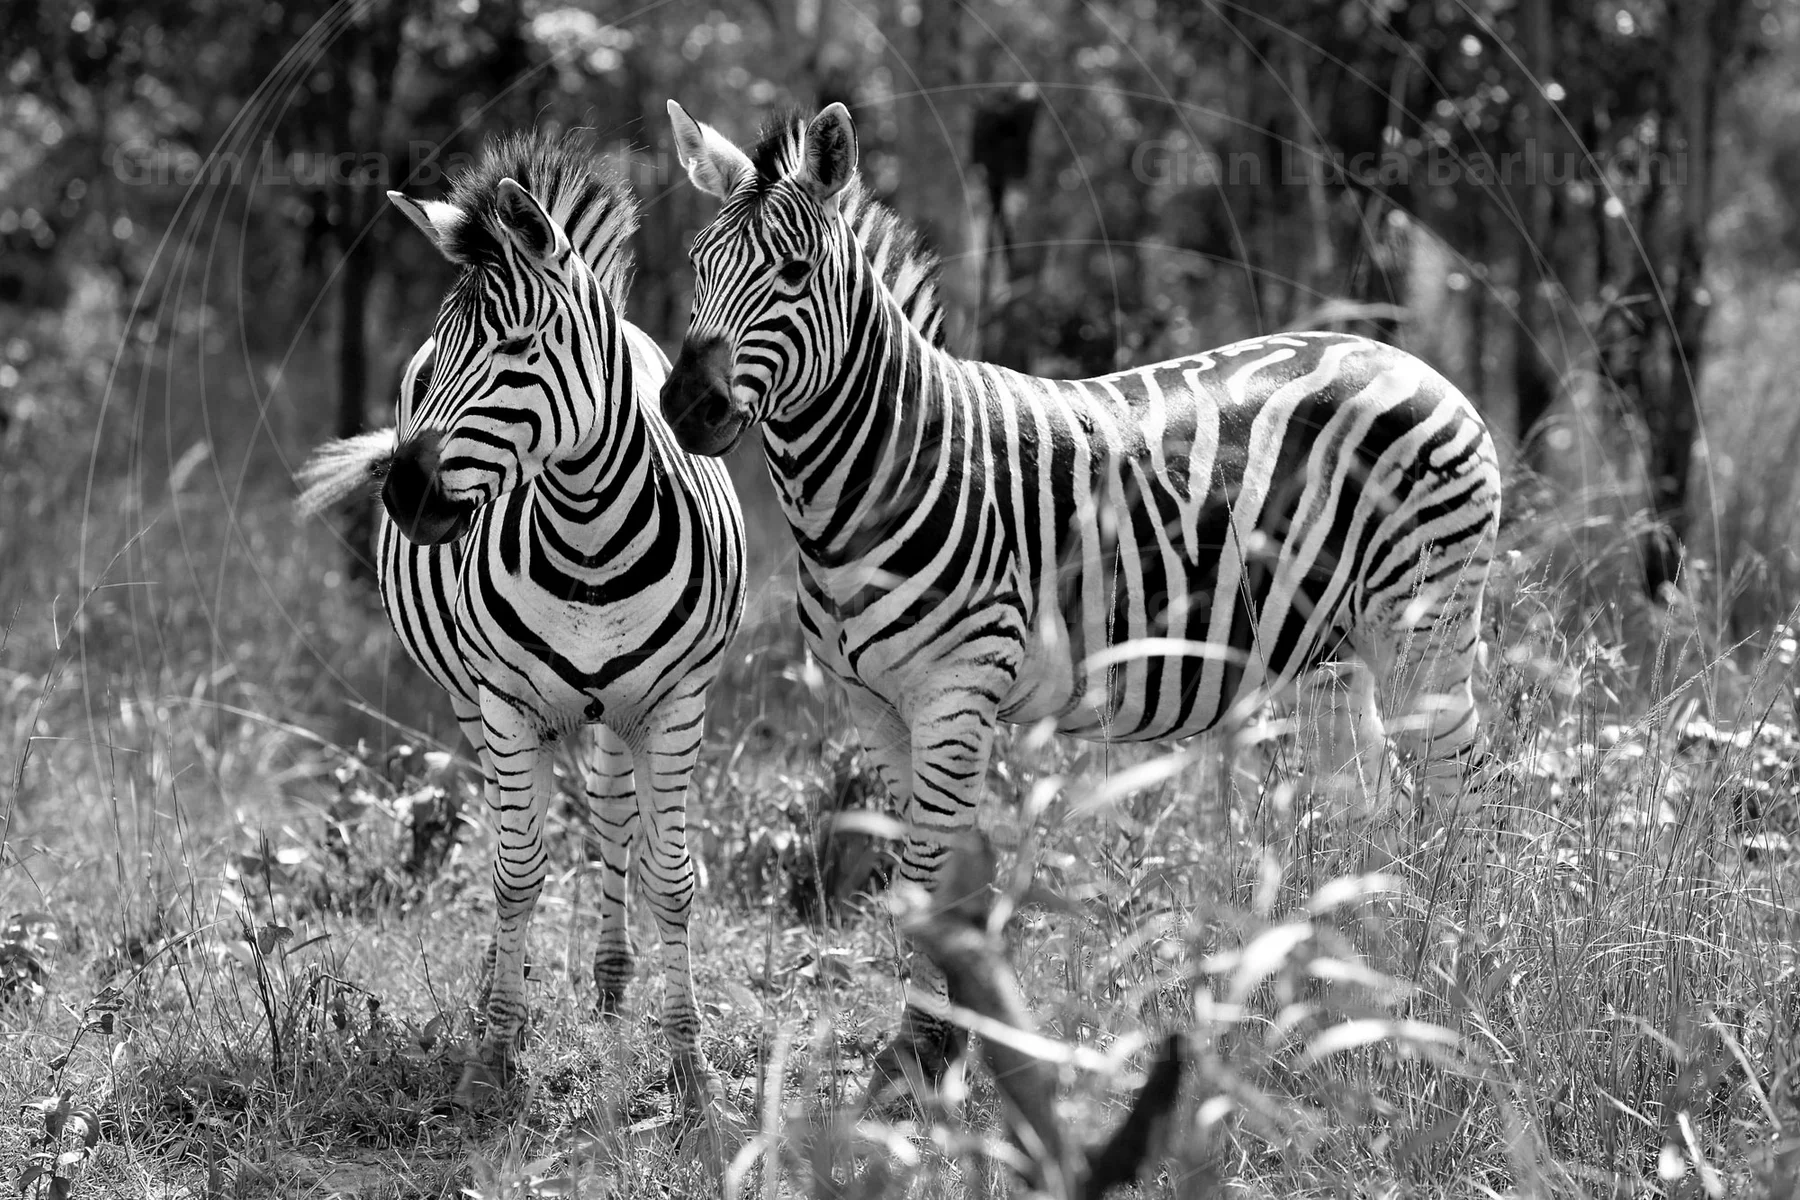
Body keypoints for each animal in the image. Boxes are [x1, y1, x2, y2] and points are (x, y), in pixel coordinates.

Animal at [297, 131, 746, 1114]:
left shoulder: (678, 705)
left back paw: (613, 986)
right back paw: (495, 997)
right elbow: (514, 874)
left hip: (620, 713)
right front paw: (494, 1052)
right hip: (475, 703)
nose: (405, 494)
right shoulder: (505, 705)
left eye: (517, 346)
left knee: (613, 816)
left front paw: (690, 1069)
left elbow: (671, 877)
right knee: (523, 827)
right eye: (442, 356)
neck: (591, 537)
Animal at [657, 101, 1503, 1104]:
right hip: (1331, 653)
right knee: (1369, 803)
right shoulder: (876, 710)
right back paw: (1351, 987)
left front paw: (919, 1056)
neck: (865, 485)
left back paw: (1451, 972)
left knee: (1463, 792)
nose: (685, 407)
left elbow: (932, 876)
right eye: (697, 266)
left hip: (1426, 625)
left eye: (792, 274)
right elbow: (931, 885)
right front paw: (953, 1050)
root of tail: (1404, 357)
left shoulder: (958, 692)